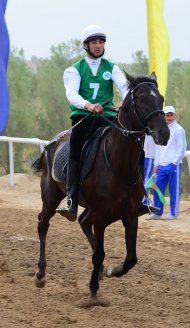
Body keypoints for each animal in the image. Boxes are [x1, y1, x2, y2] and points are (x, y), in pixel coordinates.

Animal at [31, 72, 170, 300]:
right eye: (141, 99)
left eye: (161, 98)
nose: (163, 133)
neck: (119, 164)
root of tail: (52, 143)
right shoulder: (102, 213)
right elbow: (99, 253)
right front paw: (93, 292)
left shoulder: (130, 214)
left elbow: (131, 258)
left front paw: (113, 269)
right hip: (51, 196)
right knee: (44, 223)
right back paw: (41, 274)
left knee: (83, 221)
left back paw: (103, 269)